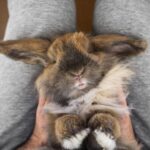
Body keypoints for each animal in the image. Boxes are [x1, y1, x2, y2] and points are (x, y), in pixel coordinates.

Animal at [0, 32, 146, 149]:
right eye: (54, 61)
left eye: (89, 51)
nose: (77, 73)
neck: (82, 96)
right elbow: (62, 121)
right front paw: (75, 134)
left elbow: (107, 117)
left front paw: (103, 134)